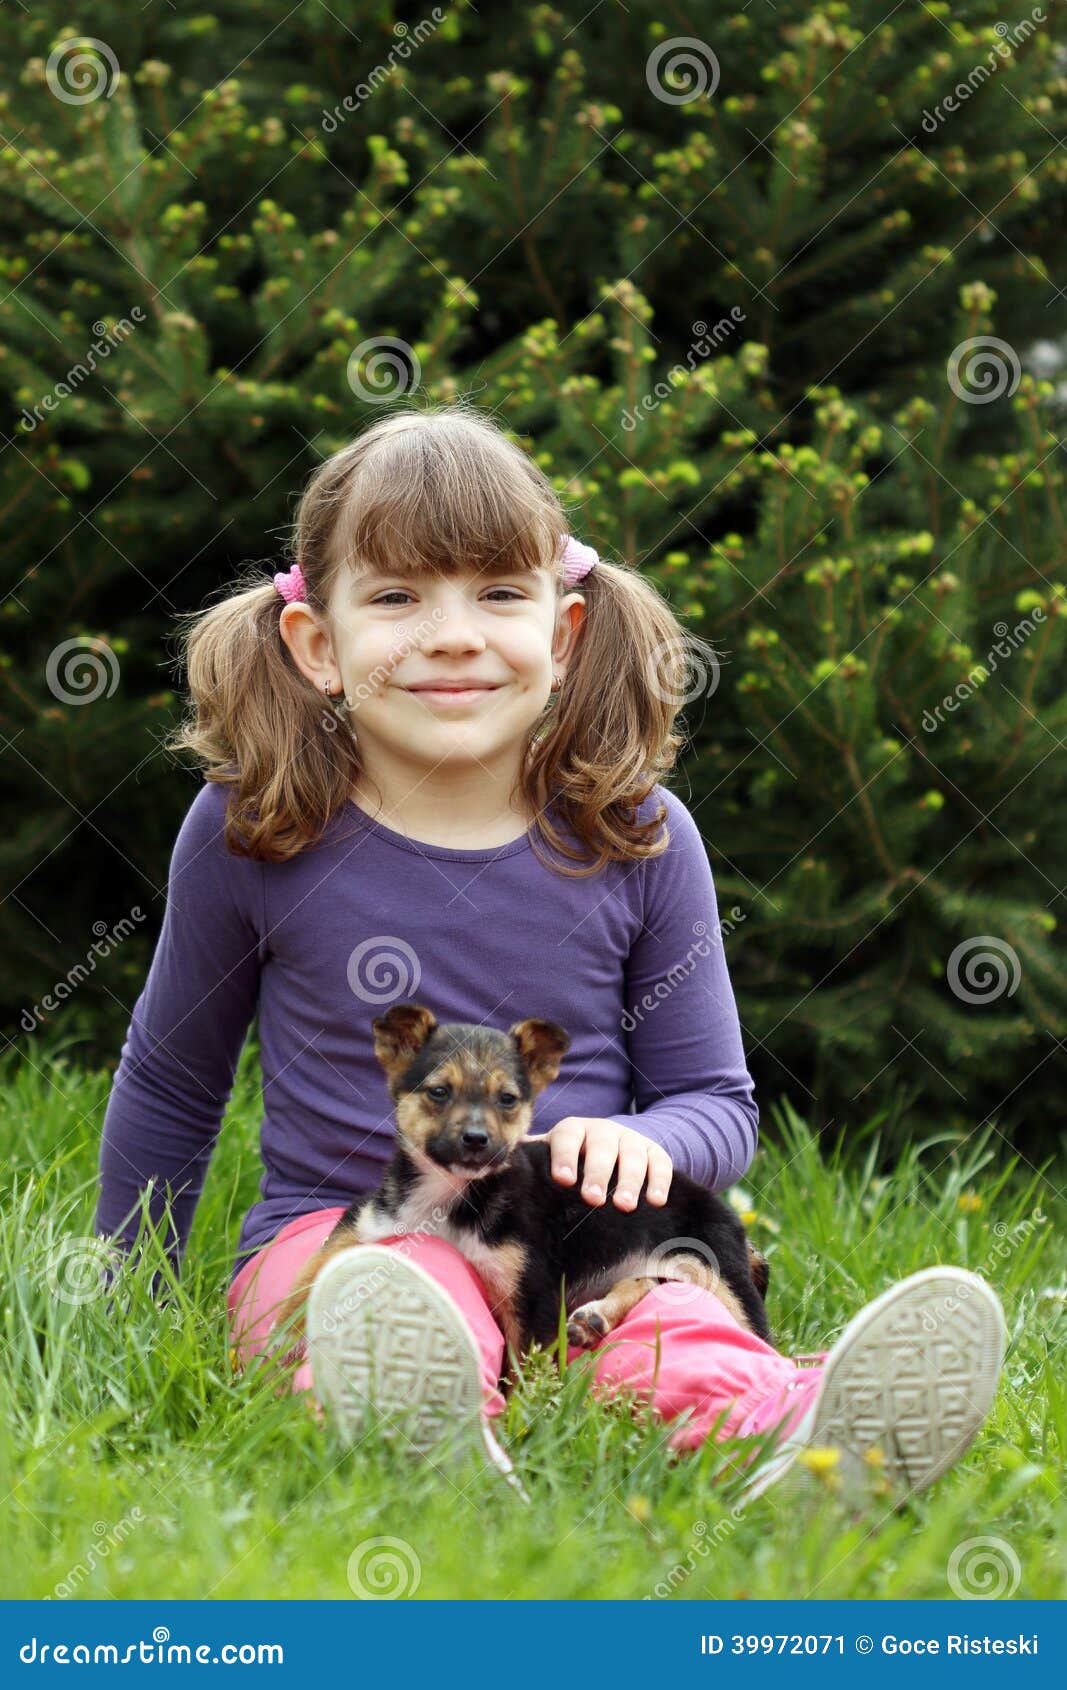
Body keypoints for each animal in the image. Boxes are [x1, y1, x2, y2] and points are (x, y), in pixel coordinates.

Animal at [273, 1000, 767, 1372]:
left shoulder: (532, 1296)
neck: (453, 1195)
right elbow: (312, 1271)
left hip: (722, 1278)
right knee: (646, 1281)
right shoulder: (371, 1219)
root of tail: (724, 1209)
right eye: (438, 1092)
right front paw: (275, 1347)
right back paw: (594, 1319)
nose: (476, 1139)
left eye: (507, 1099)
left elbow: (522, 1382)